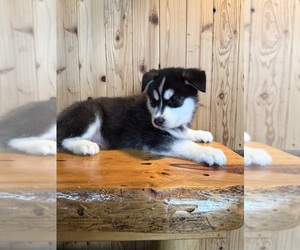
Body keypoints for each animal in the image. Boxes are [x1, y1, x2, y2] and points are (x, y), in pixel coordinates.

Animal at [56, 68, 226, 166]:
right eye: (154, 101)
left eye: (174, 99)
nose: (158, 121)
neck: (150, 112)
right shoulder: (152, 137)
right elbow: (183, 143)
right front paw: (210, 152)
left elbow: (183, 133)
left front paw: (200, 133)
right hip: (90, 112)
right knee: (63, 138)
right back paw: (85, 145)